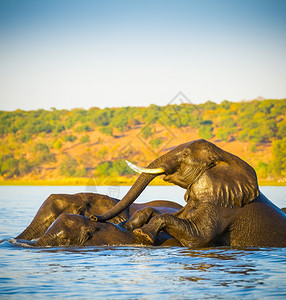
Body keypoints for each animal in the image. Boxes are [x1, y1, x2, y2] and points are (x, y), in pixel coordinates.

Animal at [92, 139, 286, 247]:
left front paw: (142, 234)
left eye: (185, 155)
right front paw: (125, 225)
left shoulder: (224, 209)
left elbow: (199, 237)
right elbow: (162, 212)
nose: (93, 217)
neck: (223, 156)